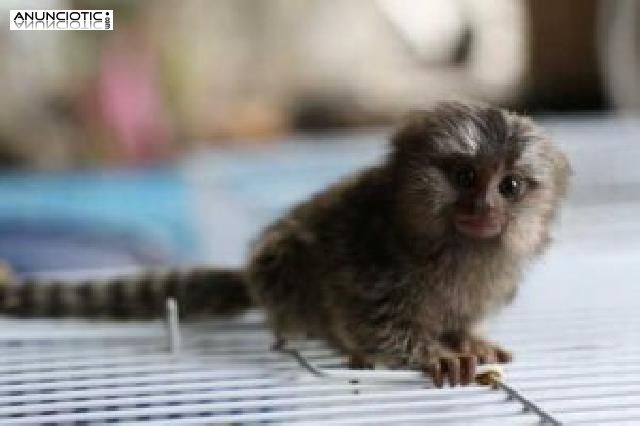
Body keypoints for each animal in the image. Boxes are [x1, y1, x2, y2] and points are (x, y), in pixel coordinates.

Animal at [0, 102, 570, 387]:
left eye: (510, 186)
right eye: (466, 175)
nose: (483, 208)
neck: (448, 249)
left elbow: (465, 320)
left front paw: (466, 339)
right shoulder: (371, 260)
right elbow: (377, 323)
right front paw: (434, 355)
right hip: (280, 269)